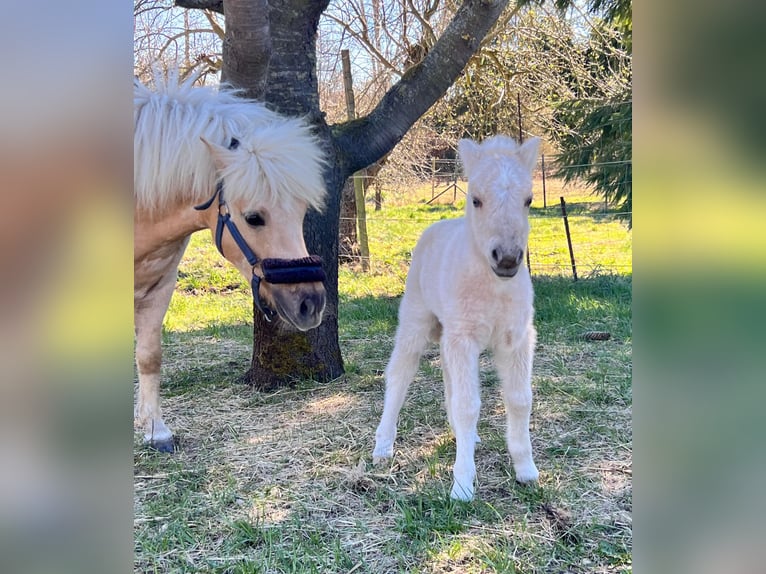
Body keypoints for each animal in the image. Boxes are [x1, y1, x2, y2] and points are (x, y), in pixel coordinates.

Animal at [134, 73, 328, 452]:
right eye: (253, 217)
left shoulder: (159, 286)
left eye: (301, 213)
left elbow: (149, 356)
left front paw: (154, 430)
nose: (310, 303)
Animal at [372, 135, 541, 501]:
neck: (493, 288)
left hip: (450, 331)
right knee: (400, 375)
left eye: (529, 200)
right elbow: (468, 405)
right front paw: (462, 486)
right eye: (475, 199)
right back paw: (382, 447)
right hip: (416, 320)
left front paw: (526, 470)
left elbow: (520, 400)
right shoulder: (463, 337)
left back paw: (466, 437)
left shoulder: (517, 337)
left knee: (448, 376)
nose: (507, 259)